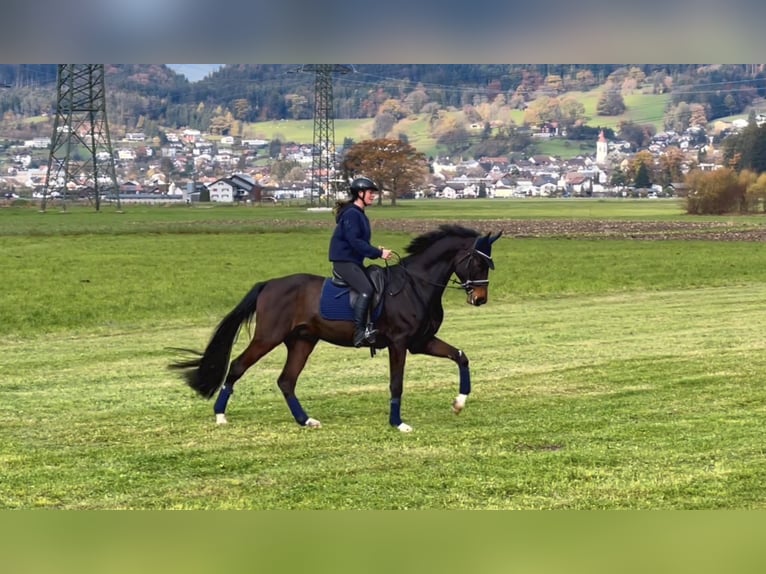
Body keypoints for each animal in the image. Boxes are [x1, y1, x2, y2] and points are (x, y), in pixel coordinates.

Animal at [170, 224, 504, 432]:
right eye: (478, 263)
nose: (480, 299)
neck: (416, 286)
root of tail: (270, 284)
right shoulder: (399, 343)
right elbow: (396, 383)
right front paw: (398, 423)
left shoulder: (421, 342)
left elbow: (460, 356)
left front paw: (459, 403)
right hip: (268, 337)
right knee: (238, 366)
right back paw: (220, 416)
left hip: (302, 341)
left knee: (286, 381)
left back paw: (306, 421)